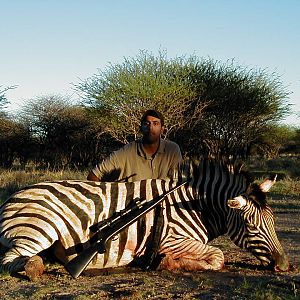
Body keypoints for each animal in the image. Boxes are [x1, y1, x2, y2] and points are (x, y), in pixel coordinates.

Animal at [1, 159, 290, 278]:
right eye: (251, 226)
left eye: (274, 222)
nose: (285, 266)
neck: (196, 206)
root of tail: (11, 198)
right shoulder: (172, 239)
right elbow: (218, 257)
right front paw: (167, 263)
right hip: (39, 230)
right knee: (11, 261)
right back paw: (36, 267)